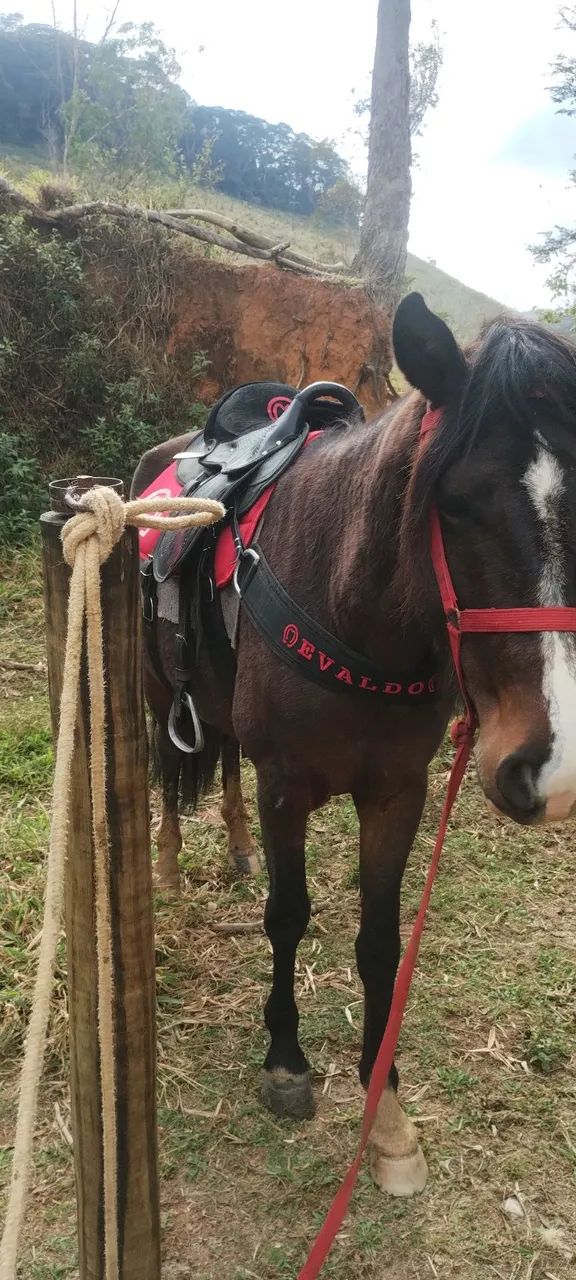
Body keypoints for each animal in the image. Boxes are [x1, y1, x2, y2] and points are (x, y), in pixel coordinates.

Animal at [132, 292, 576, 1195]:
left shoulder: (396, 792)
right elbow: (288, 914)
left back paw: (234, 845)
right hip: (163, 690)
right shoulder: (286, 785)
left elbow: (381, 945)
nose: (550, 771)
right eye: (456, 502)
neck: (350, 603)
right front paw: (286, 1061)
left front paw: (389, 1118)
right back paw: (168, 863)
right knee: (168, 769)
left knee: (221, 763)